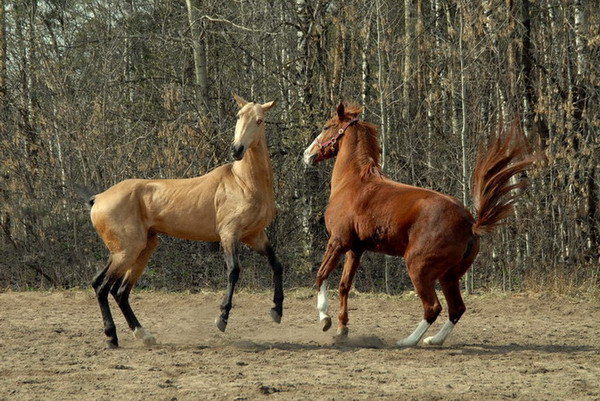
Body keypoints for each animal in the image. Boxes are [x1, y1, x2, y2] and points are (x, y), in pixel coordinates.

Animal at [87, 94, 284, 346]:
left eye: (259, 120)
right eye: (239, 116)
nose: (237, 150)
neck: (244, 181)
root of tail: (98, 198)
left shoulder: (254, 235)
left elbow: (276, 264)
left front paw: (277, 311)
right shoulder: (229, 234)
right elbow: (234, 270)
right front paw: (222, 318)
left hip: (141, 248)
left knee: (117, 290)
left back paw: (143, 334)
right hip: (127, 251)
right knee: (103, 287)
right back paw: (112, 336)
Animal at [304, 104, 536, 346]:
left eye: (327, 126)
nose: (307, 155)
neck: (354, 183)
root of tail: (471, 223)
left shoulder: (337, 242)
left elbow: (321, 276)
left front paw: (325, 318)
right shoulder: (355, 249)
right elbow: (344, 286)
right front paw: (342, 329)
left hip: (418, 268)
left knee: (433, 307)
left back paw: (407, 341)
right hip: (449, 276)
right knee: (456, 309)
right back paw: (434, 340)